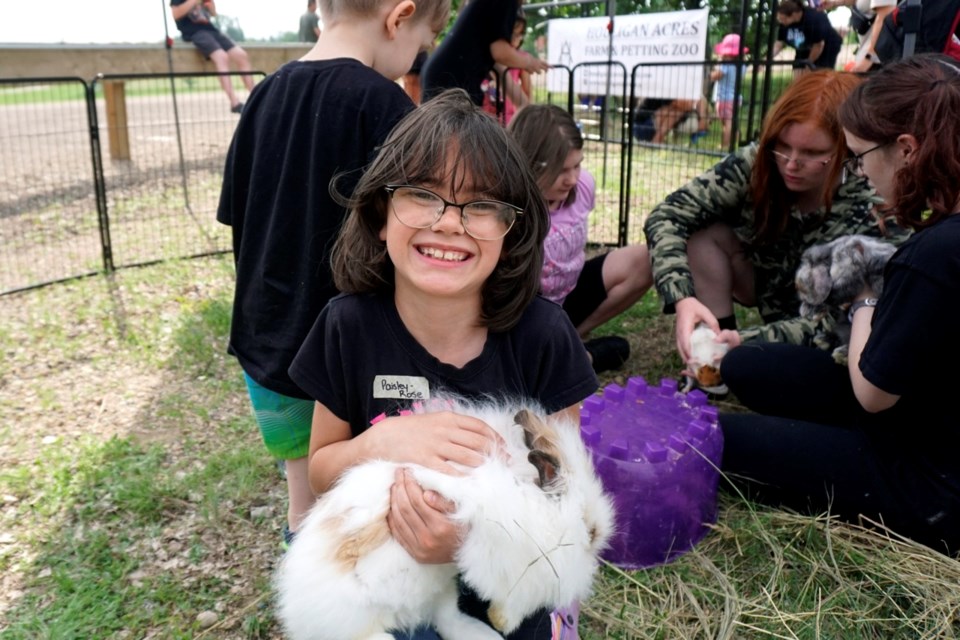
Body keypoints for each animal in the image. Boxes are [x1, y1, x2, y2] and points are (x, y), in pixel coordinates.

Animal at [274, 396, 616, 640]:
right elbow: (512, 592)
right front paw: (505, 619)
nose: (597, 539)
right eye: (589, 527)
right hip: (352, 621)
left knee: (447, 619)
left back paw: (484, 635)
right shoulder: (505, 554)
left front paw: (500, 621)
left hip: (441, 587)